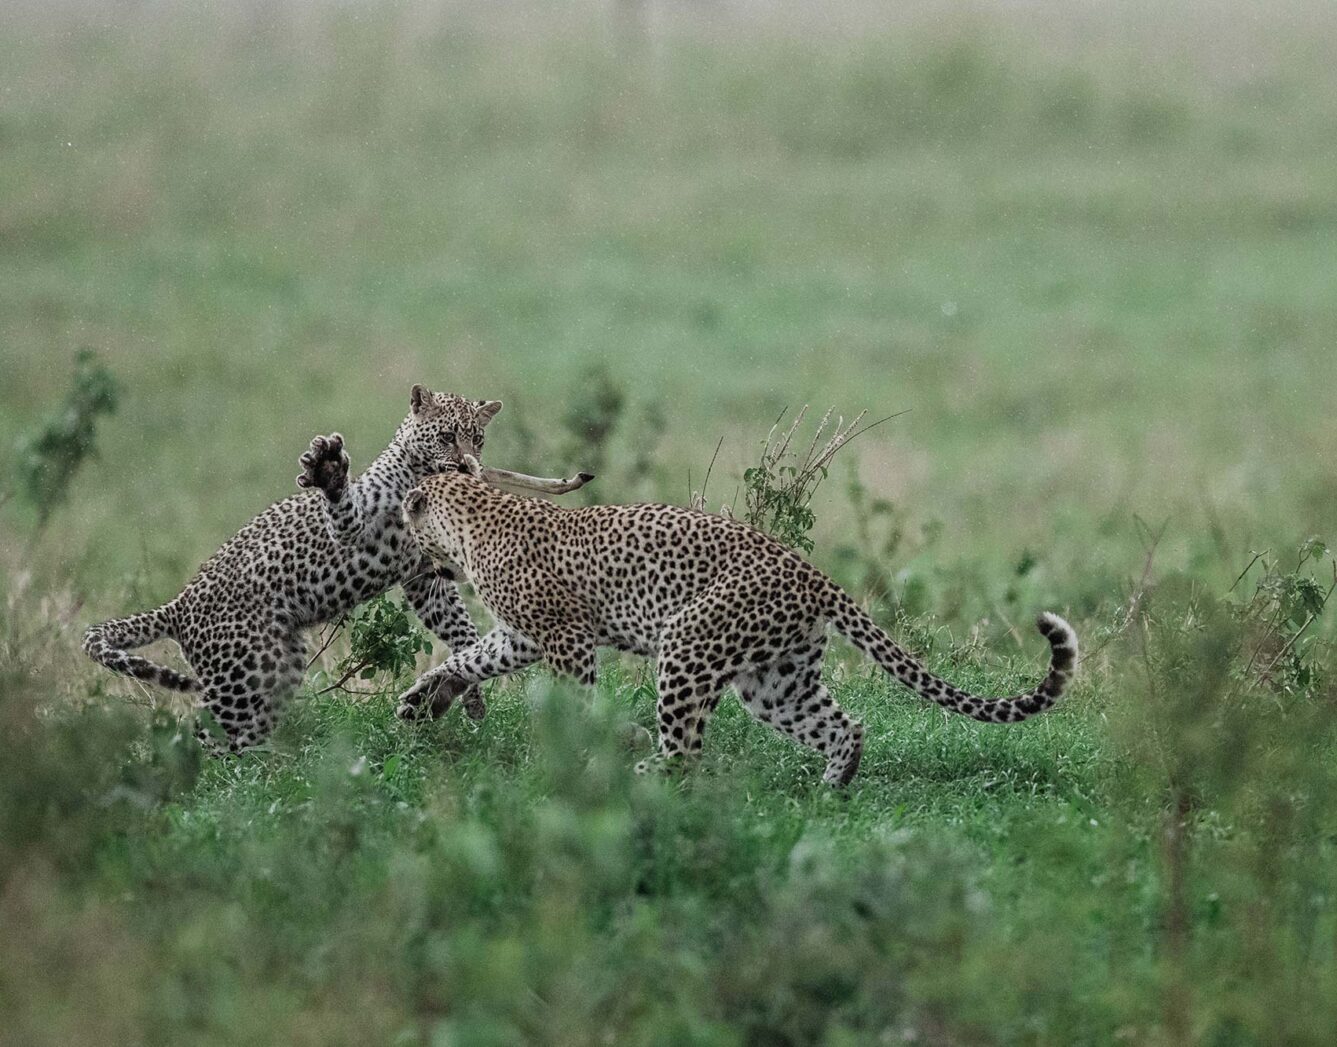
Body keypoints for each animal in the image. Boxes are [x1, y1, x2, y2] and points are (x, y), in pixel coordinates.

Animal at [79, 385, 590, 754]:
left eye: (478, 438)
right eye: (447, 436)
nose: (468, 465)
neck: (422, 476)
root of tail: (179, 604)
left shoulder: (424, 579)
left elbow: (459, 628)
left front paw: (467, 691)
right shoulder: (358, 529)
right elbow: (342, 508)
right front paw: (327, 468)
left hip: (273, 667)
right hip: (240, 677)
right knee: (205, 733)